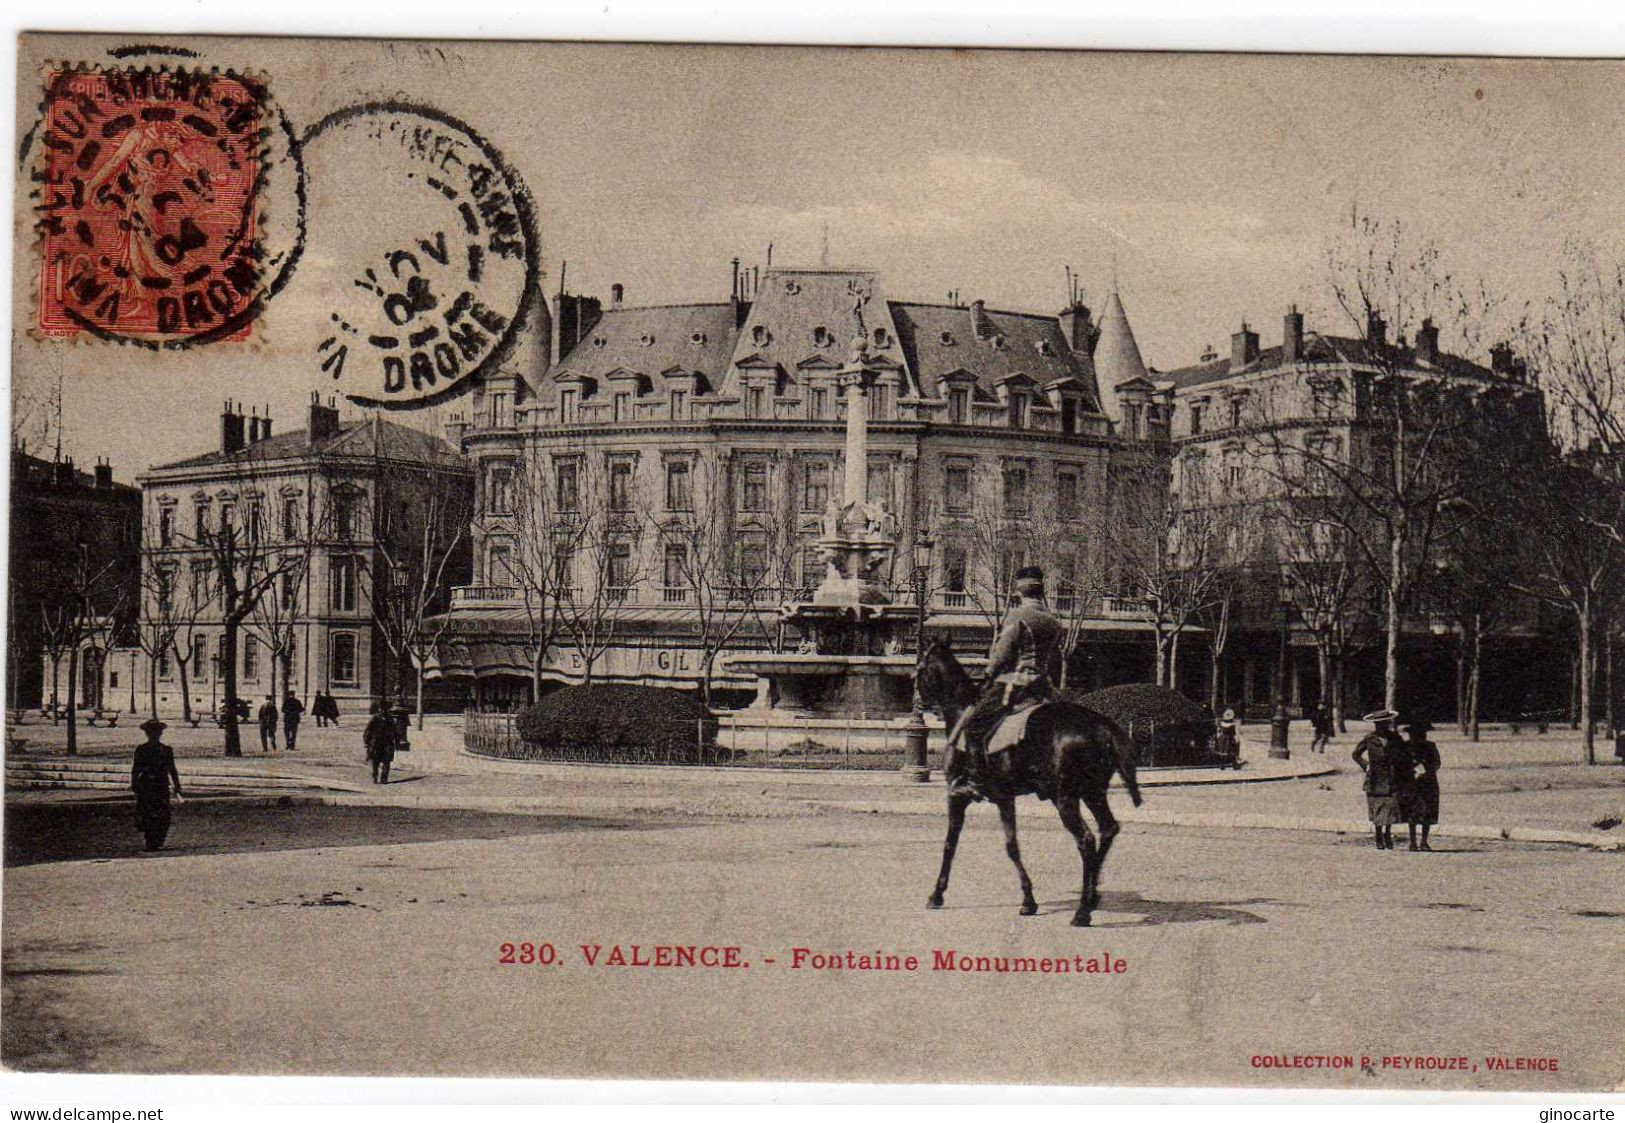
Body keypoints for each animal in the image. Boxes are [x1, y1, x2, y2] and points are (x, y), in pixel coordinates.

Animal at [916, 640, 1144, 929]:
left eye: (919, 668)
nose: (918, 702)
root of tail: (1102, 726)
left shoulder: (957, 796)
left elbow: (950, 845)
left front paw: (936, 894)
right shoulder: (1004, 799)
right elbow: (1012, 846)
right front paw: (1028, 900)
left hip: (1065, 798)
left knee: (1086, 839)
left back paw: (1082, 911)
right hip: (1093, 793)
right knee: (1108, 829)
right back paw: (1092, 895)